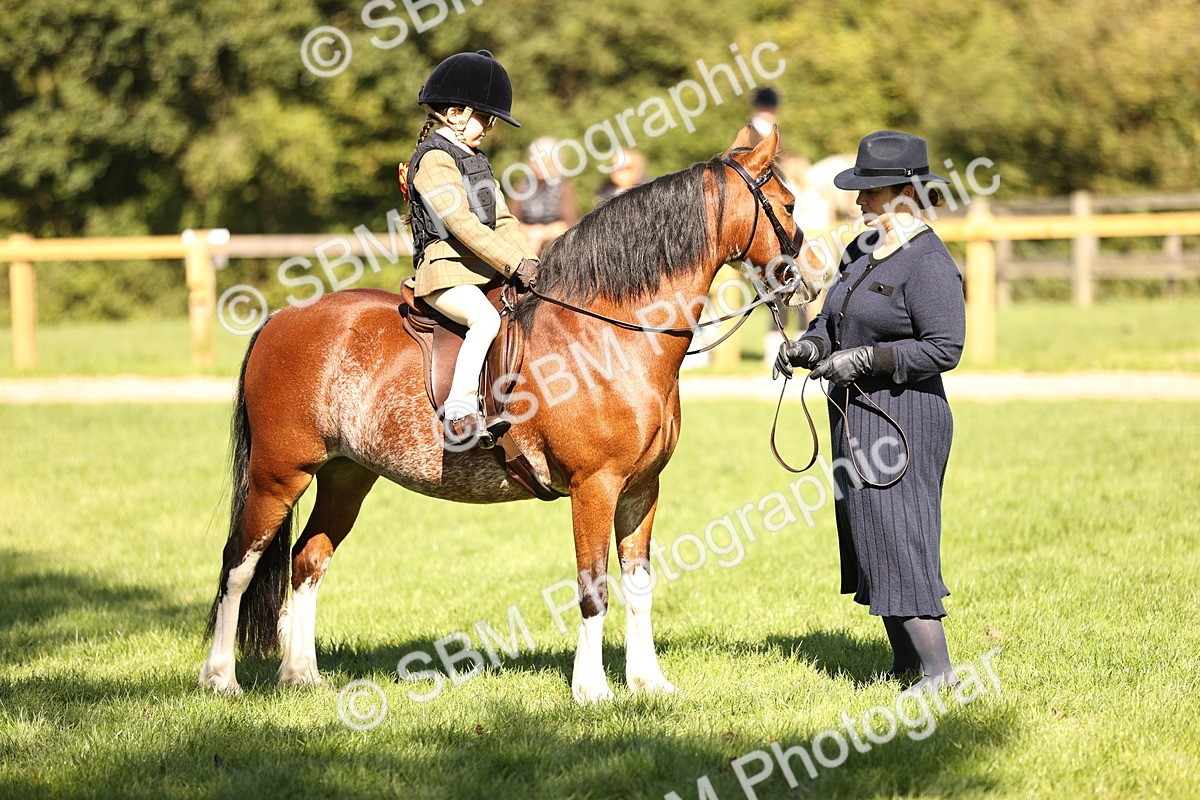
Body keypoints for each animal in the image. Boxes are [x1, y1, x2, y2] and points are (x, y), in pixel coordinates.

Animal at [198, 126, 817, 703]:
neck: (611, 333)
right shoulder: (596, 487)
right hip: (279, 475)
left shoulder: (641, 489)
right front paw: (592, 690)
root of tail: (281, 318)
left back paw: (301, 676)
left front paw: (649, 683)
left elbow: (639, 586)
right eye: (787, 204)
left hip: (346, 476)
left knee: (307, 561)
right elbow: (593, 587)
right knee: (238, 563)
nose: (811, 276)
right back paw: (221, 678)